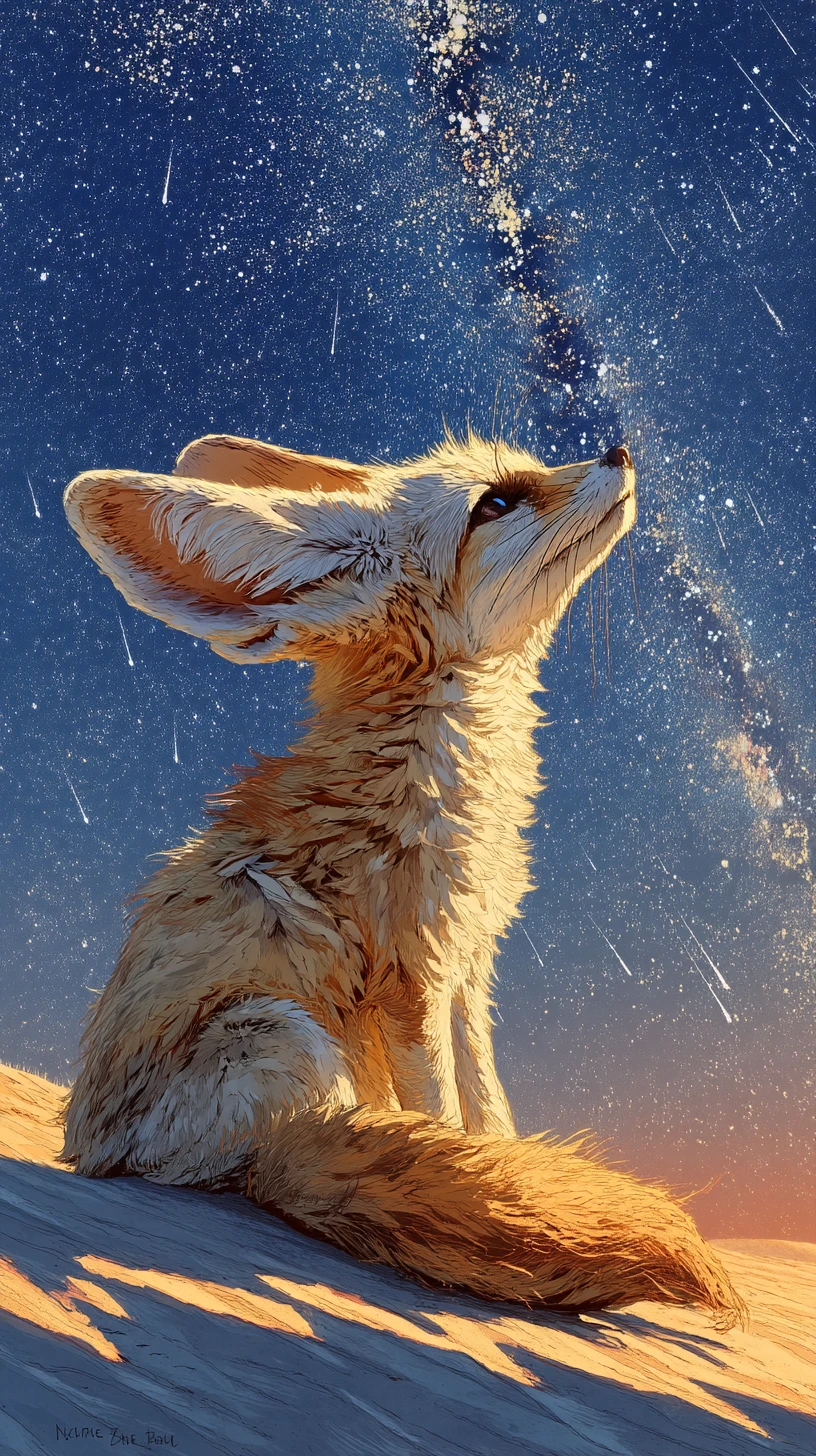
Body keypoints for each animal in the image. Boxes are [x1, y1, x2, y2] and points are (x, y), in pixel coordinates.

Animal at [60, 429, 744, 1327]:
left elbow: (487, 1109)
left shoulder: (467, 969)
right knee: (243, 1169)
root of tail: (83, 1147)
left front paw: (507, 1171)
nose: (619, 450)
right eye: (497, 503)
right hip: (280, 1031)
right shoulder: (407, 979)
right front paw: (484, 1183)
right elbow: (443, 1113)